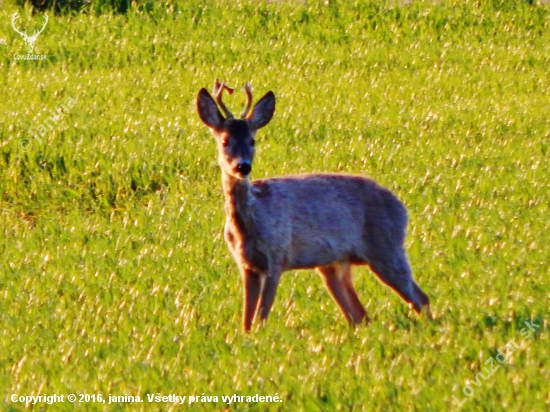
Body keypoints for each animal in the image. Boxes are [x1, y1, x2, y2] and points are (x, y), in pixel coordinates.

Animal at [197, 79, 432, 332]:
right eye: (225, 141)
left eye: (252, 140)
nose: (243, 166)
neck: (249, 224)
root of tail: (402, 209)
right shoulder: (247, 265)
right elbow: (247, 321)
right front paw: (247, 337)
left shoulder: (277, 255)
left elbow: (261, 315)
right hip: (335, 264)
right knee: (360, 315)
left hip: (386, 247)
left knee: (419, 297)